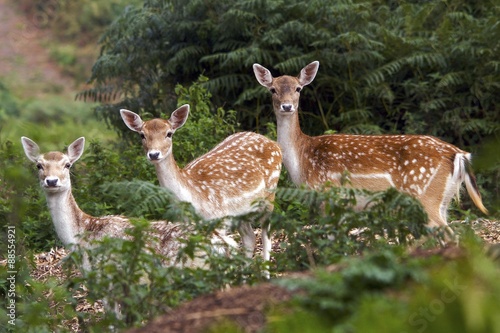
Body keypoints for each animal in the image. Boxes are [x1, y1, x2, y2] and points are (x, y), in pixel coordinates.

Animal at [118, 103, 282, 264]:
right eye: (142, 135)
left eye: (169, 133)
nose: (153, 154)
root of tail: (274, 144)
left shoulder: (219, 219)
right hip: (240, 212)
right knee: (249, 238)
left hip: (270, 192)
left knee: (266, 236)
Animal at [254, 60, 488, 239]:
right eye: (273, 89)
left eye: (298, 88)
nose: (286, 106)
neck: (303, 160)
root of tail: (458, 154)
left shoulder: (328, 193)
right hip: (444, 198)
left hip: (424, 194)